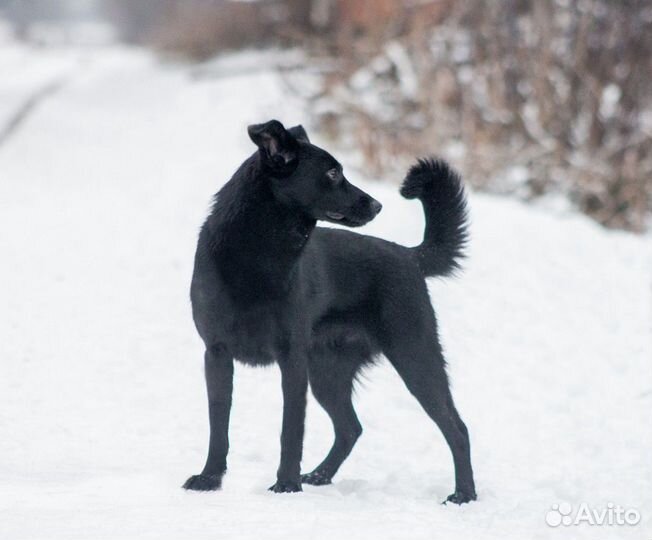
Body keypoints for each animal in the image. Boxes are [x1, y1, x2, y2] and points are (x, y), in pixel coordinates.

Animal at [181, 120, 476, 504]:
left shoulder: (291, 359)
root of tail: (409, 256)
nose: (378, 205)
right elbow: (219, 427)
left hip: (415, 357)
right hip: (327, 373)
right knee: (351, 428)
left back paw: (464, 495)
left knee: (457, 427)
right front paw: (210, 479)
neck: (255, 255)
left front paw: (286, 486)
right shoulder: (216, 354)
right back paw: (320, 475)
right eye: (333, 173)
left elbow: (291, 430)